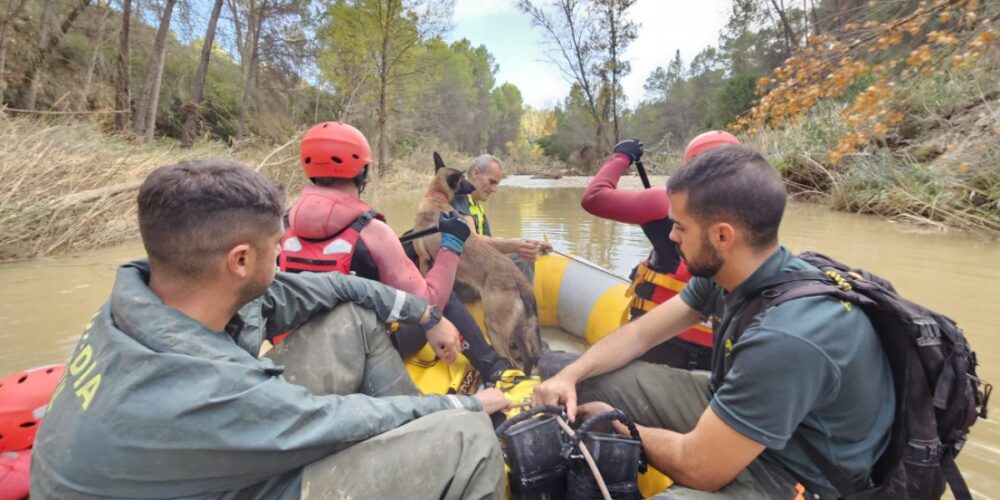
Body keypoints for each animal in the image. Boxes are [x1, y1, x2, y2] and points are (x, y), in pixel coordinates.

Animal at [410, 152, 544, 376]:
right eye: (464, 180)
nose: (472, 187)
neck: (437, 199)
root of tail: (520, 281)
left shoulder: (423, 260)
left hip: (494, 326)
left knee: (510, 359)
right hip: (520, 331)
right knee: (528, 359)